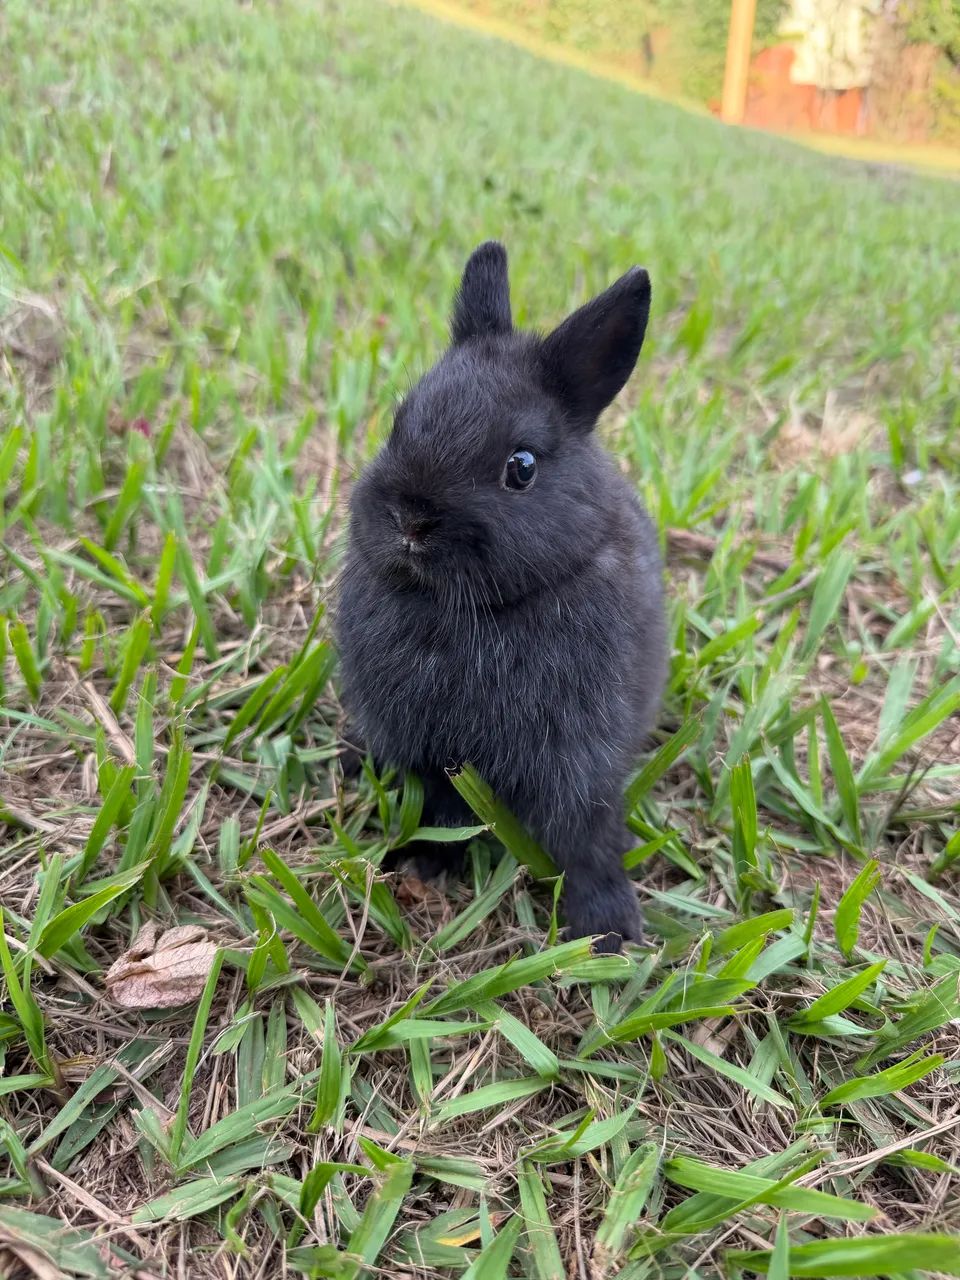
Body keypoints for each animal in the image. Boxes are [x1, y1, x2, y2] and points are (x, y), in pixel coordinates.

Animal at [335, 241, 666, 951]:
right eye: (399, 422)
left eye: (522, 467)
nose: (411, 521)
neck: (466, 612)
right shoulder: (431, 754)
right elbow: (439, 808)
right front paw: (421, 863)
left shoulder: (580, 758)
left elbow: (586, 838)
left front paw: (608, 932)